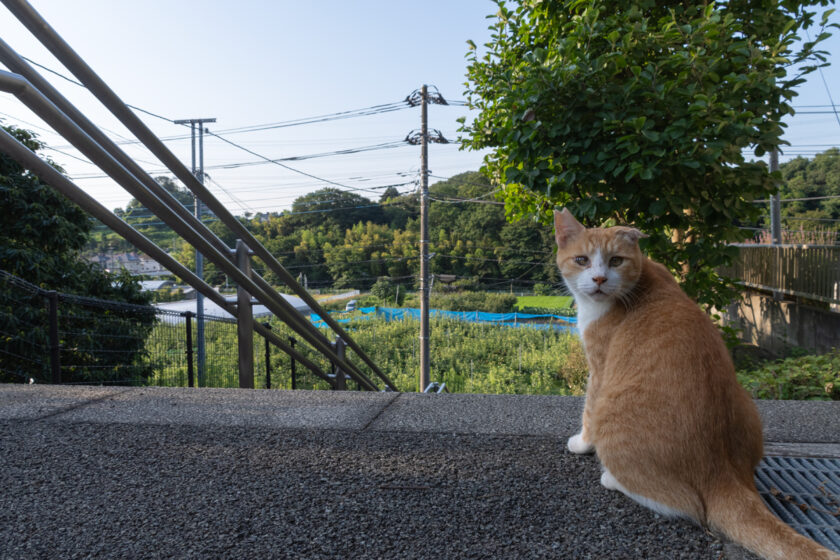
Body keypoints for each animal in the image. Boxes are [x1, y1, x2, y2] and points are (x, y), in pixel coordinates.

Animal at [556, 208, 836, 556]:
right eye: (582, 260)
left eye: (616, 261)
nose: (598, 279)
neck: (640, 280)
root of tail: (721, 474)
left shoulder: (599, 369)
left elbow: (588, 412)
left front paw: (581, 444)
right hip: (747, 404)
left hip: (614, 418)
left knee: (683, 504)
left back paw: (612, 479)